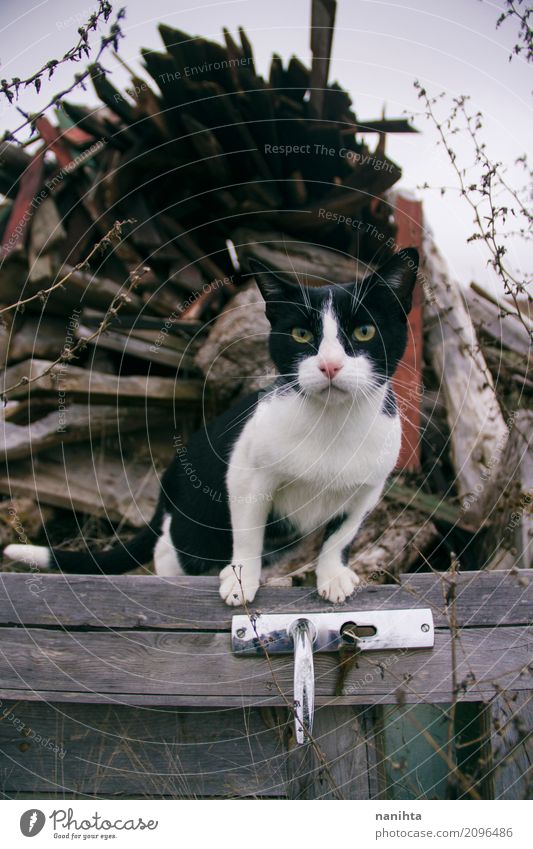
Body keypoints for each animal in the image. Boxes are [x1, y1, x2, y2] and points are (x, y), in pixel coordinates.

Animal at [5, 248, 420, 608]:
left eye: (364, 331)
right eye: (301, 335)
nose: (330, 365)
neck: (331, 423)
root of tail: (169, 481)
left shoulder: (369, 488)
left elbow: (341, 535)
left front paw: (332, 576)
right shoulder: (246, 474)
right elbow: (247, 535)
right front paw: (240, 581)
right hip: (200, 525)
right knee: (171, 548)